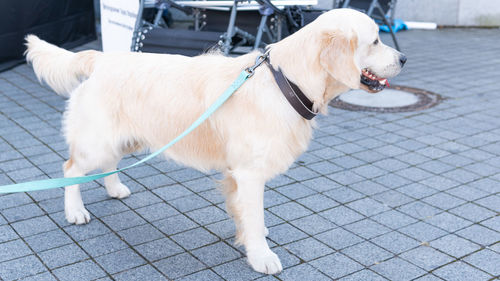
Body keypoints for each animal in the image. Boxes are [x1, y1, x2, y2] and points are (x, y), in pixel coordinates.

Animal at [25, 8, 404, 274]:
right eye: (374, 41)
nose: (403, 58)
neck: (286, 81)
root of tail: (101, 56)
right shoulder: (249, 173)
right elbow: (254, 216)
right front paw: (261, 256)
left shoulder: (240, 174)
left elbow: (247, 215)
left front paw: (252, 237)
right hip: (98, 140)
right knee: (71, 168)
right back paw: (75, 211)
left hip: (123, 138)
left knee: (106, 165)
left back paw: (115, 187)